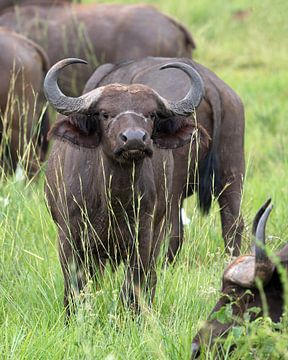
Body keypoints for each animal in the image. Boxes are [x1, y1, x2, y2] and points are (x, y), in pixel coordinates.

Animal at [44, 57, 208, 316]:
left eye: (151, 114)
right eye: (105, 114)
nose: (133, 139)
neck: (114, 201)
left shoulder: (143, 237)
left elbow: (134, 284)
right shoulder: (69, 237)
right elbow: (74, 283)